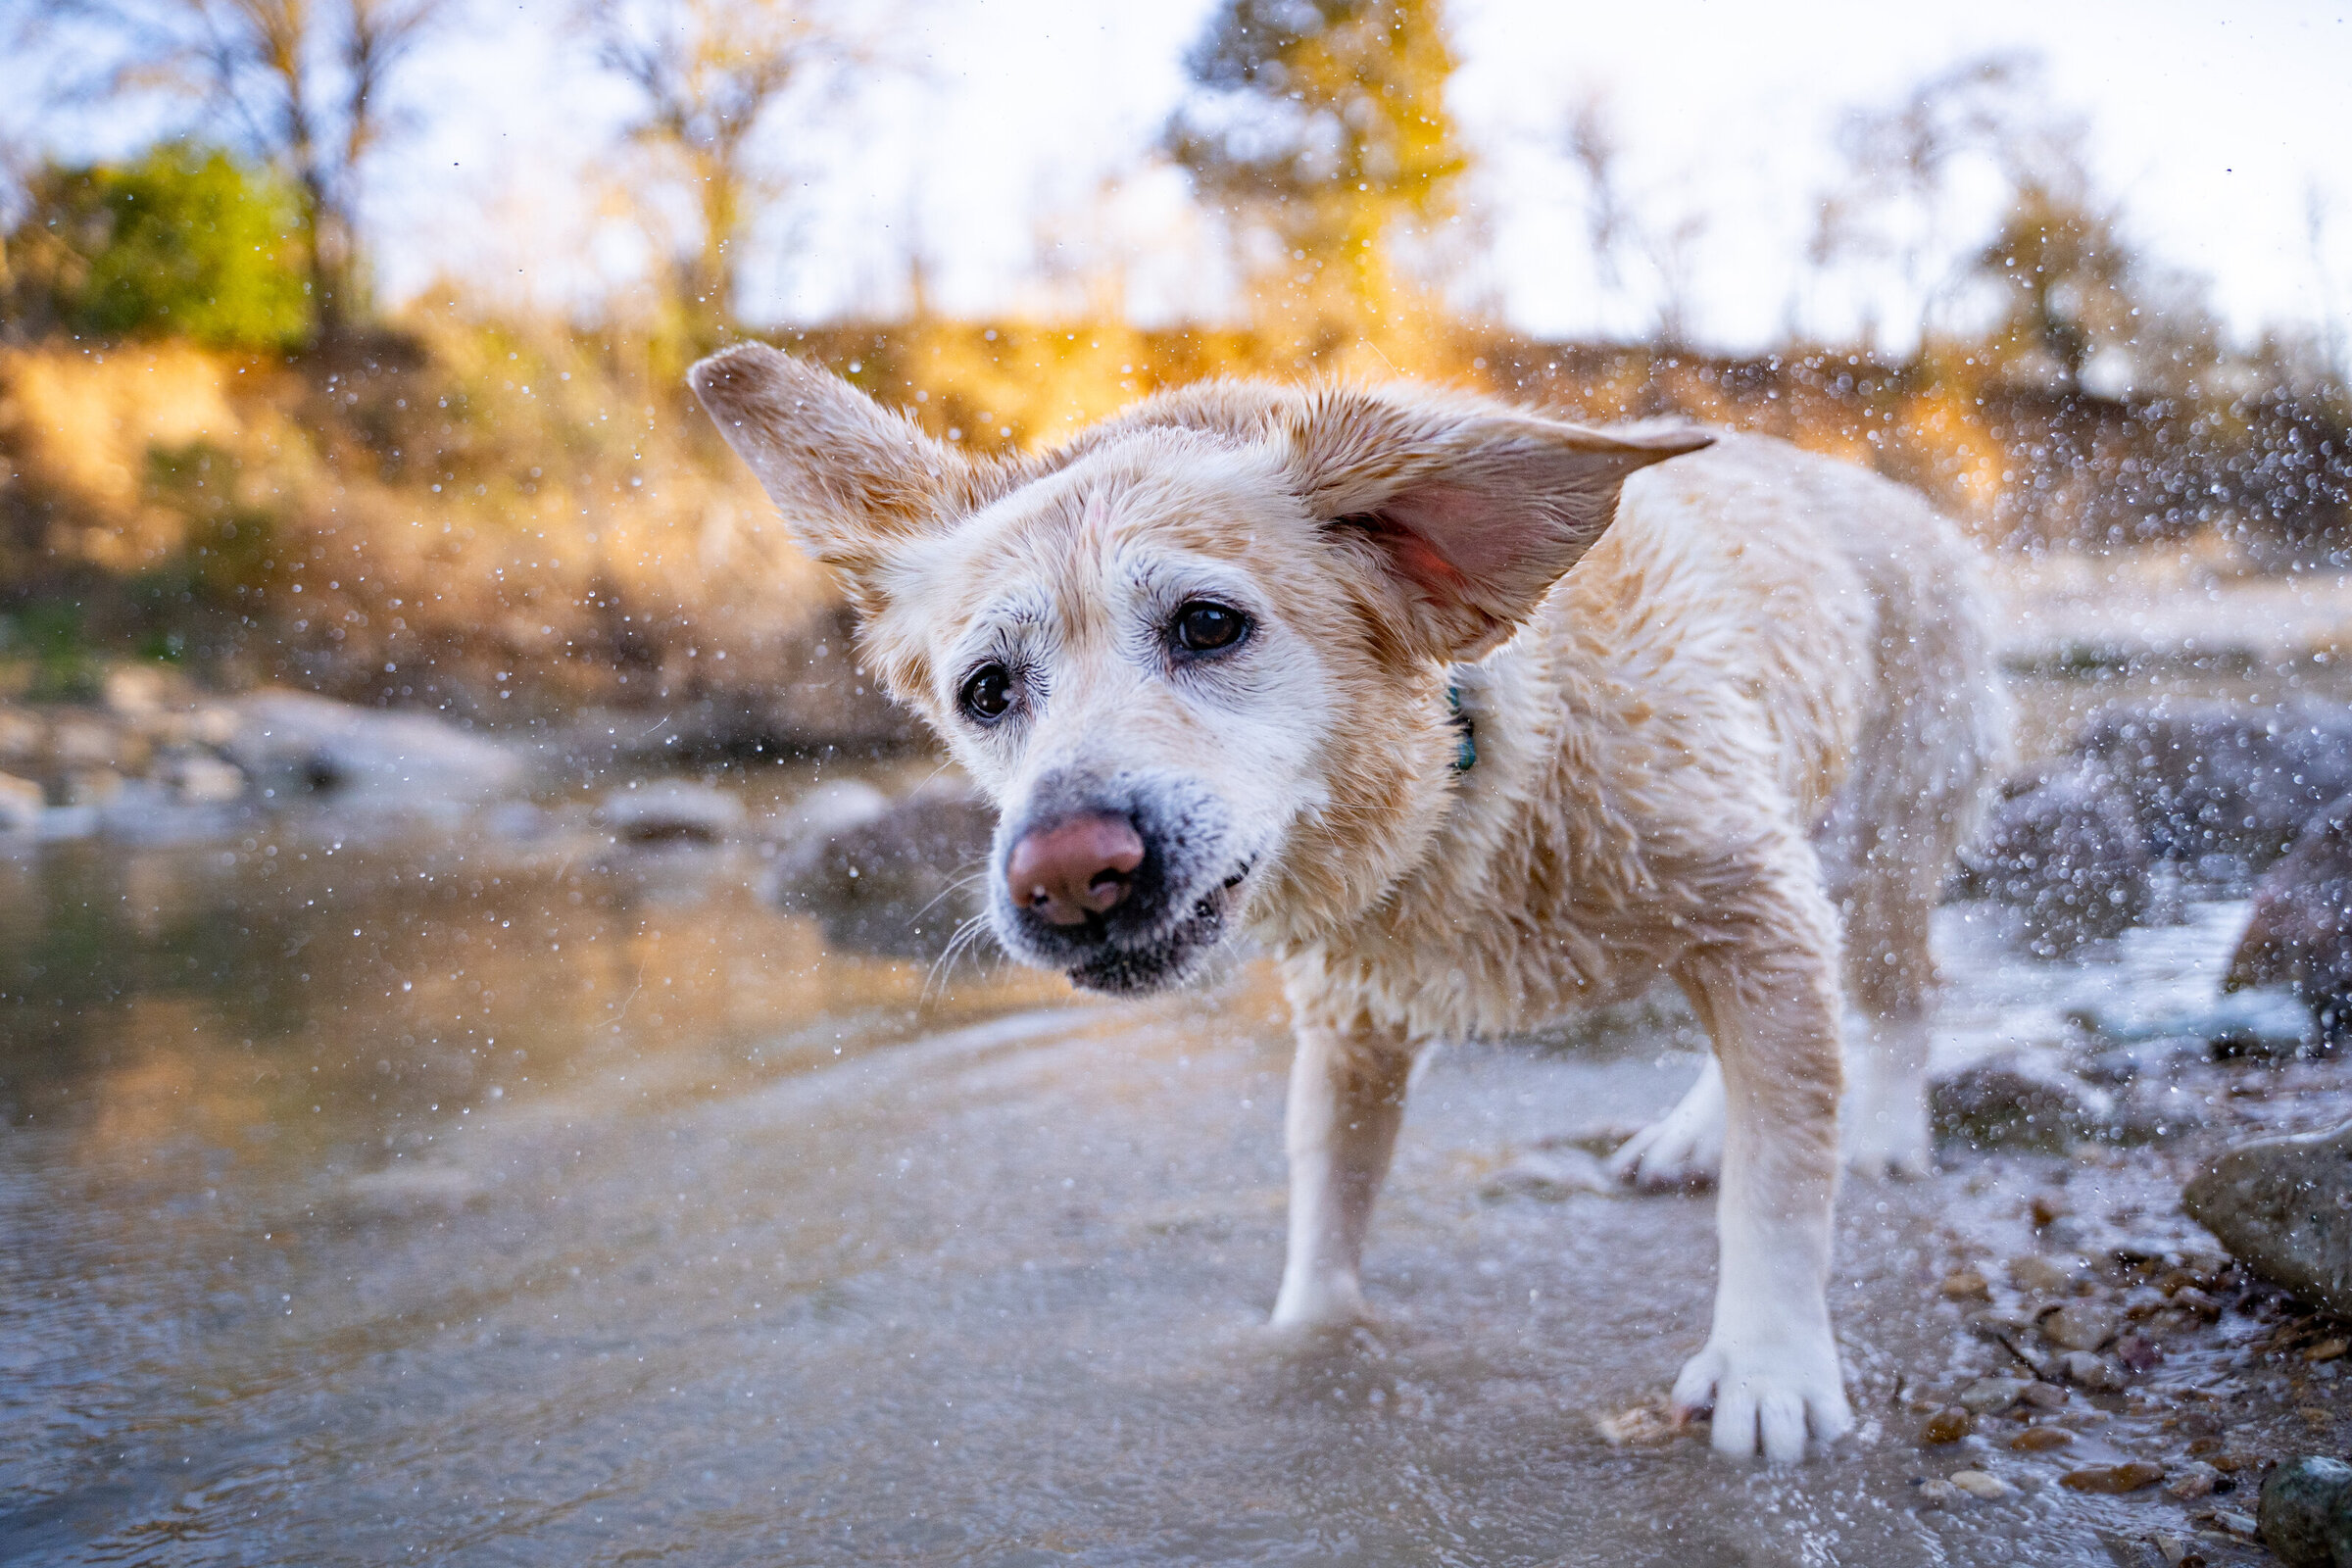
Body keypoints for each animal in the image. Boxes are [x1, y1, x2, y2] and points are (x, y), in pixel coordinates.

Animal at [686, 350, 2003, 1466]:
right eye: (986, 690)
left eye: (1209, 624)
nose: (1064, 872)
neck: (1462, 783)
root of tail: (1901, 498)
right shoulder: (1354, 1013)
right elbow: (1328, 1193)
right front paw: (1304, 1341)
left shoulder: (1751, 896)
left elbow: (1783, 1176)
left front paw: (1772, 1367)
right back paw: (1691, 1131)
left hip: (1878, 847)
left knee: (1894, 996)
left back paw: (1884, 1128)